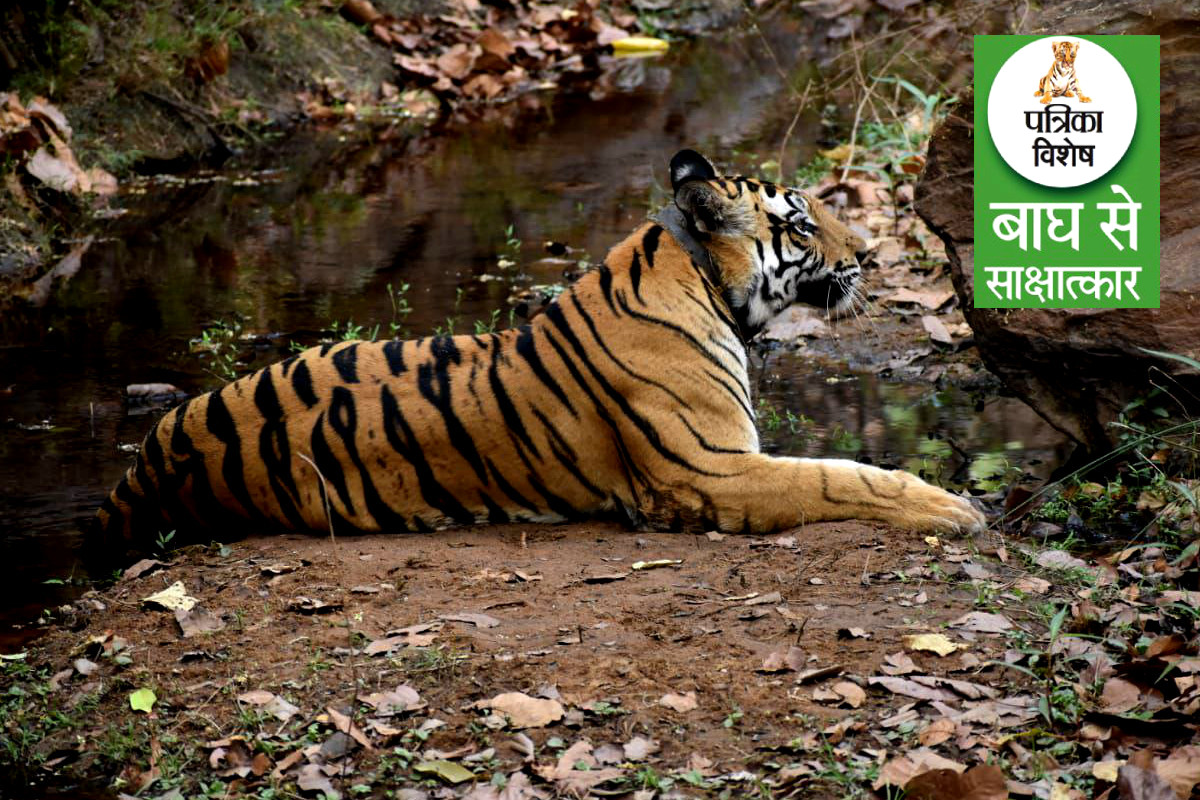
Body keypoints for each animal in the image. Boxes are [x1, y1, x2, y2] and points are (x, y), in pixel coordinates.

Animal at [92, 149, 984, 565]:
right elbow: (843, 476)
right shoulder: (714, 469)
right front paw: (951, 508)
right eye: (801, 223)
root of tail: (146, 462)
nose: (870, 253)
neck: (697, 271)